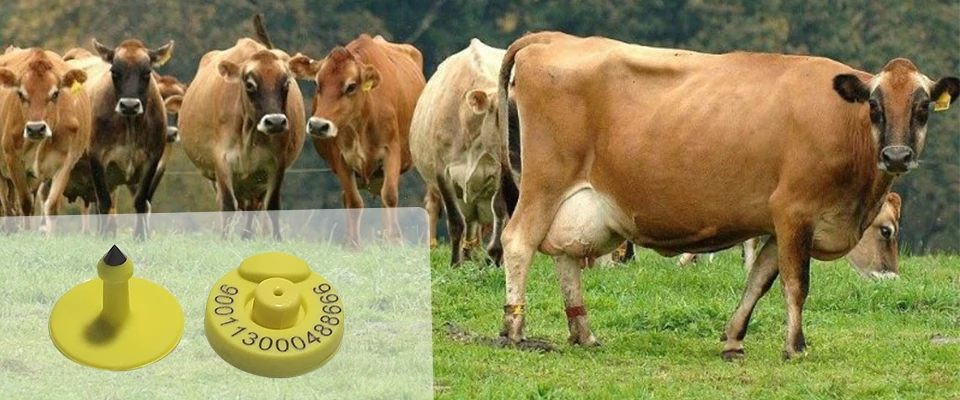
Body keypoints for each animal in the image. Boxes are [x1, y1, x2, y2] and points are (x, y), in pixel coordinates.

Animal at [0, 47, 91, 233]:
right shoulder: (13, 159)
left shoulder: (66, 162)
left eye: (55, 94)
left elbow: (52, 206)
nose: (36, 128)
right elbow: (25, 204)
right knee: (7, 206)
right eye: (21, 94)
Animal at [178, 33, 305, 239]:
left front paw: (277, 240)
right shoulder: (221, 160)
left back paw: (247, 236)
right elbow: (228, 205)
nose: (275, 121)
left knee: (252, 208)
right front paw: (224, 239)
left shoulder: (277, 163)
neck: (248, 134)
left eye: (286, 83)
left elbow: (272, 206)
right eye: (250, 84)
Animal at [289, 34, 425, 248]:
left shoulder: (391, 150)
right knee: (347, 197)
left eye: (351, 86)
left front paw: (395, 240)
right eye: (318, 83)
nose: (318, 125)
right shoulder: (340, 157)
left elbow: (390, 195)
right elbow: (353, 201)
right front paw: (353, 244)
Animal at [410, 38, 516, 267]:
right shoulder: (443, 173)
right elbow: (455, 221)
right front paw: (455, 264)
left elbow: (500, 209)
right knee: (468, 221)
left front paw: (494, 257)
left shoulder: (499, 172)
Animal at [493, 31, 958, 360]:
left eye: (922, 109)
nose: (896, 155)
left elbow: (759, 280)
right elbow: (796, 283)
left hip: (575, 200)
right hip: (546, 182)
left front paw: (734, 339)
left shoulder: (777, 224)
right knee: (519, 241)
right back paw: (514, 330)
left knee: (565, 255)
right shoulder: (794, 211)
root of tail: (554, 38)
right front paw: (796, 346)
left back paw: (584, 333)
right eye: (874, 107)